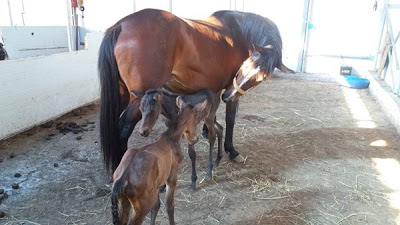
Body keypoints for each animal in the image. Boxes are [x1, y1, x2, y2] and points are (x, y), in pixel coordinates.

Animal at [99, 8, 294, 171]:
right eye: (245, 66)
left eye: (261, 78)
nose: (227, 97)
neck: (239, 33)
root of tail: (121, 25)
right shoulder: (228, 91)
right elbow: (230, 120)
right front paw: (231, 151)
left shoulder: (216, 89)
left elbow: (212, 115)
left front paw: (207, 132)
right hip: (138, 98)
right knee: (123, 128)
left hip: (123, 94)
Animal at [111, 97, 208, 225]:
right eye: (196, 118)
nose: (195, 139)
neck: (170, 138)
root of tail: (123, 179)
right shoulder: (172, 176)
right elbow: (169, 205)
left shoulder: (156, 185)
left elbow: (156, 206)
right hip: (143, 206)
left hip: (124, 201)